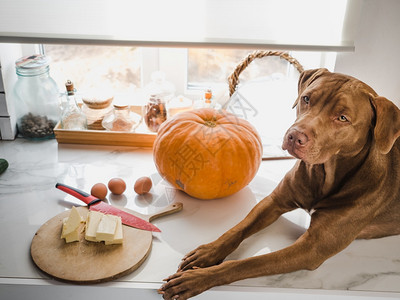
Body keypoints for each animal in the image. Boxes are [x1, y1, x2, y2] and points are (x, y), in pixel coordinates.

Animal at [159, 68, 400, 300]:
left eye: (342, 117)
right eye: (306, 98)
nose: (295, 136)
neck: (325, 174)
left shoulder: (312, 248)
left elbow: (248, 264)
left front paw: (196, 278)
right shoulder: (274, 201)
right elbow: (237, 229)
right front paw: (208, 252)